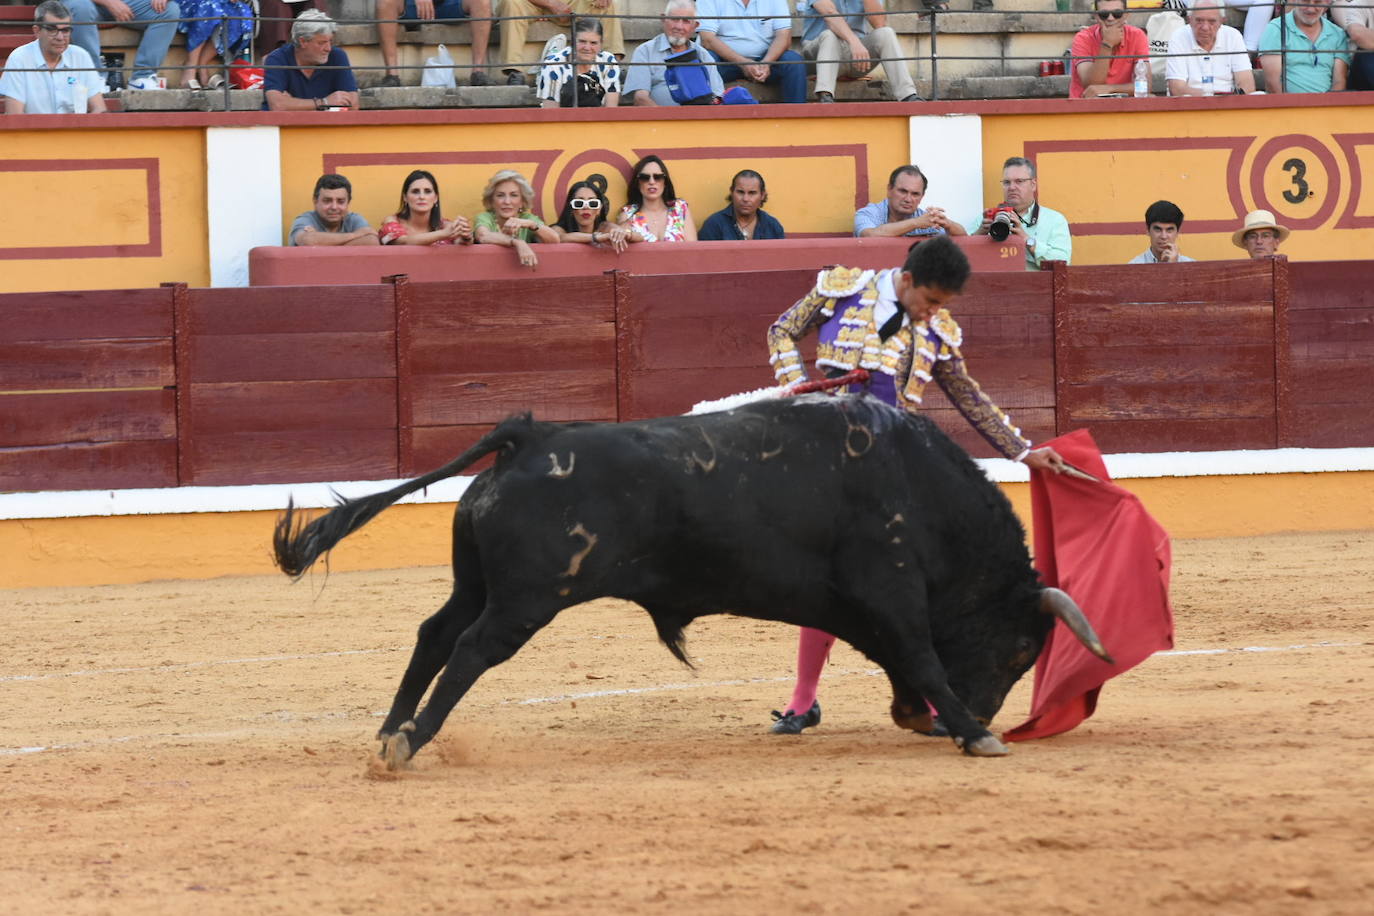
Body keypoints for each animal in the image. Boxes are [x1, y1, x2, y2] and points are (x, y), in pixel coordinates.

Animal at [276, 395, 1104, 769]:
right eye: (1017, 653)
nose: (978, 714)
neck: (923, 487)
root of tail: (530, 438)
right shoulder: (892, 591)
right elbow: (925, 657)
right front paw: (974, 733)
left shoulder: (868, 609)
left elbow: (906, 661)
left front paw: (931, 719)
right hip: (527, 599)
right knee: (472, 649)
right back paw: (411, 742)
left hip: (480, 583)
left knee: (435, 633)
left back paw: (390, 730)